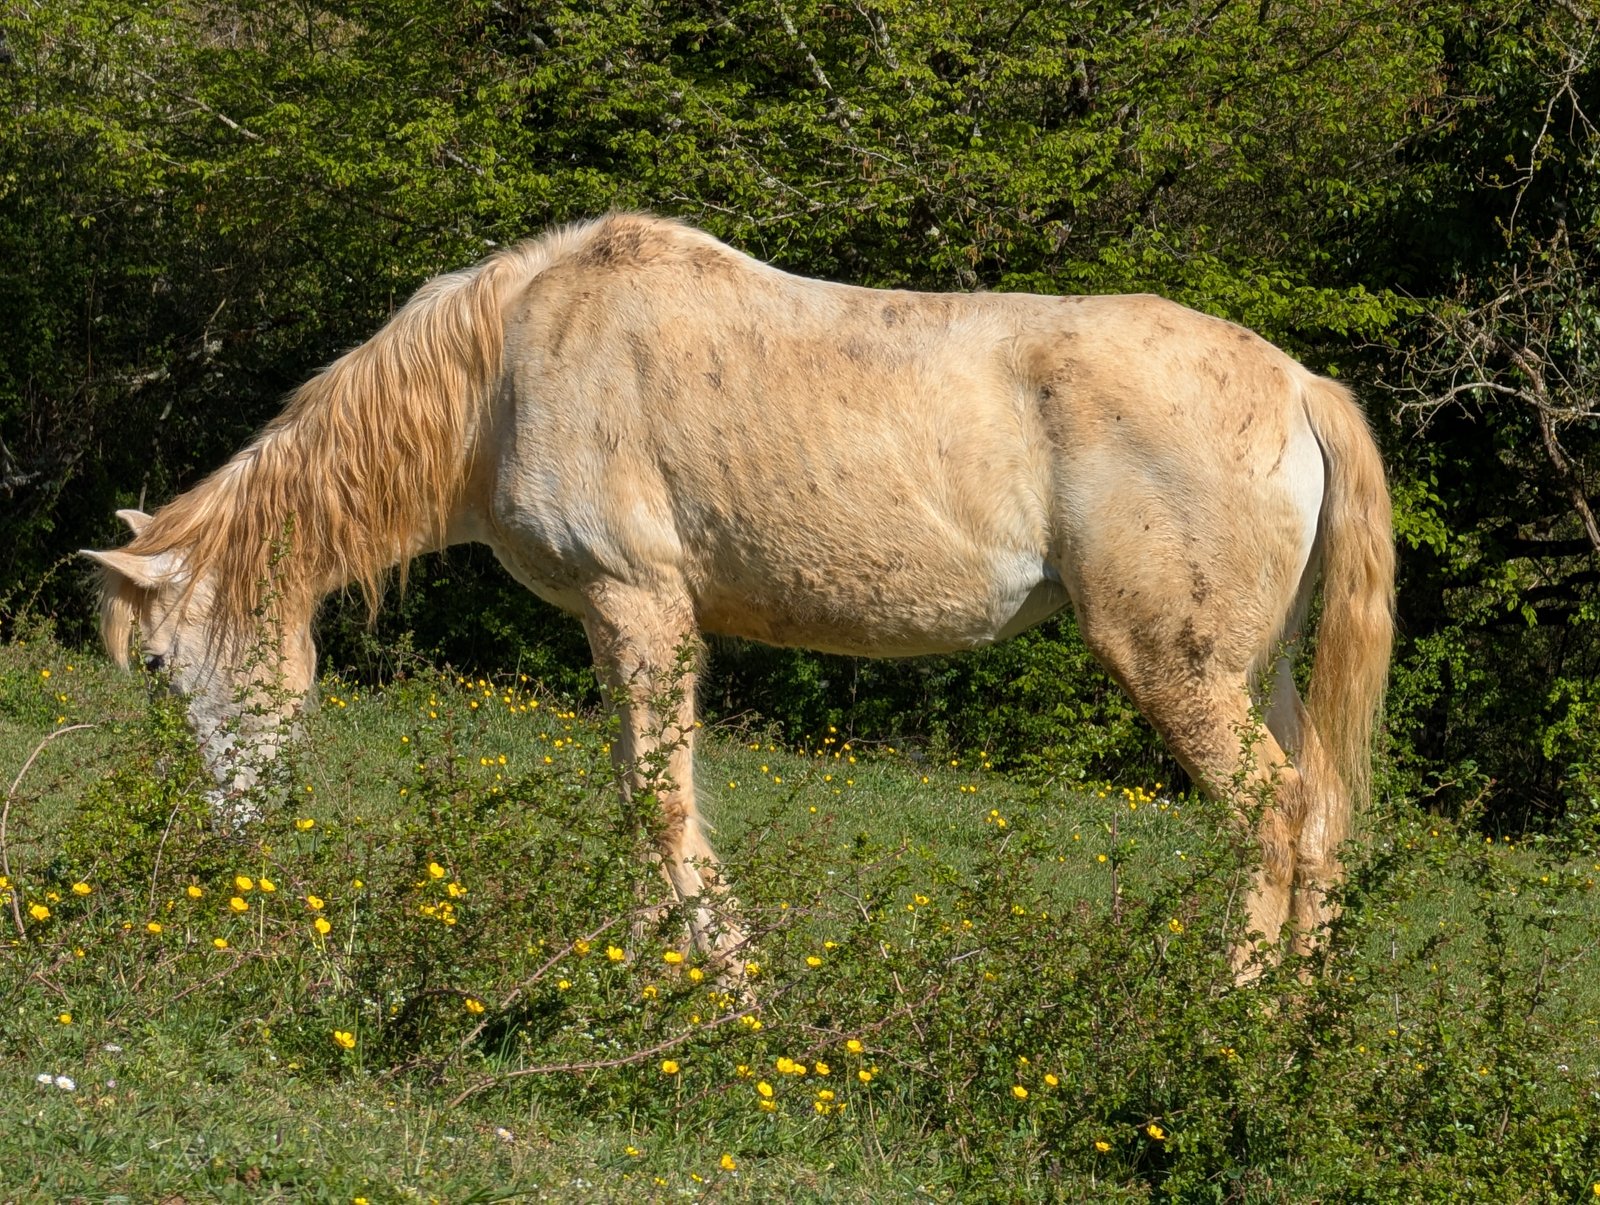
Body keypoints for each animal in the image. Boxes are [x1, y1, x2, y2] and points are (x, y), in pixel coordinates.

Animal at [85, 212, 1394, 969]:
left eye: (157, 666)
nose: (232, 840)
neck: (507, 363)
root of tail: (1296, 384)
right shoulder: (619, 620)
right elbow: (638, 791)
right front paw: (652, 966)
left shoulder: (638, 605)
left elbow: (662, 800)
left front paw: (718, 982)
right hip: (1258, 670)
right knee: (1321, 817)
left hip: (1175, 667)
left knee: (1273, 819)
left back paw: (1230, 1025)